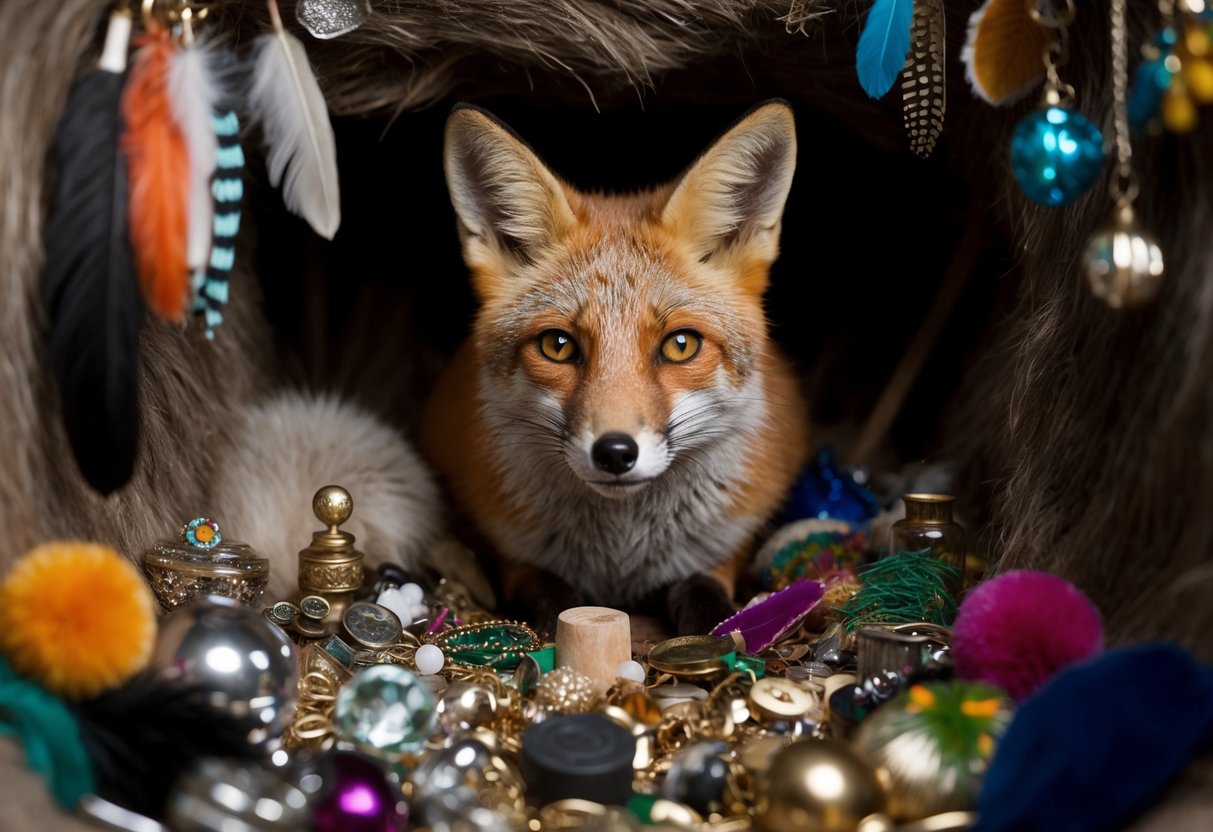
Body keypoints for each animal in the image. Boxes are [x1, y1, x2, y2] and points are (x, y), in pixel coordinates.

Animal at [419, 101, 809, 635]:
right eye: (557, 345)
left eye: (681, 345)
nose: (615, 452)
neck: (621, 557)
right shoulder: (511, 552)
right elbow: (551, 597)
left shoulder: (727, 545)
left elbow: (705, 593)